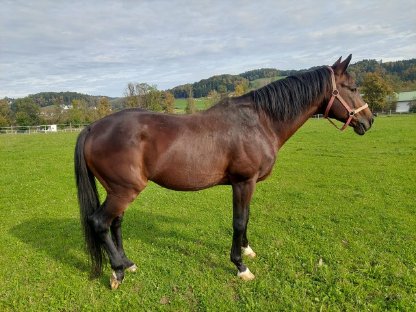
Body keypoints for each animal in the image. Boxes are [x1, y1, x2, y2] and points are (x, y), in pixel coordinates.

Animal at [74, 54, 374, 290]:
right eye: (353, 87)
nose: (369, 120)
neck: (259, 120)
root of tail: (93, 127)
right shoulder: (243, 182)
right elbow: (239, 221)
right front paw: (240, 267)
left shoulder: (249, 184)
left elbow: (247, 217)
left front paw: (247, 250)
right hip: (124, 191)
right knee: (100, 222)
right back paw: (117, 272)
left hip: (118, 191)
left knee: (115, 224)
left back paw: (128, 263)